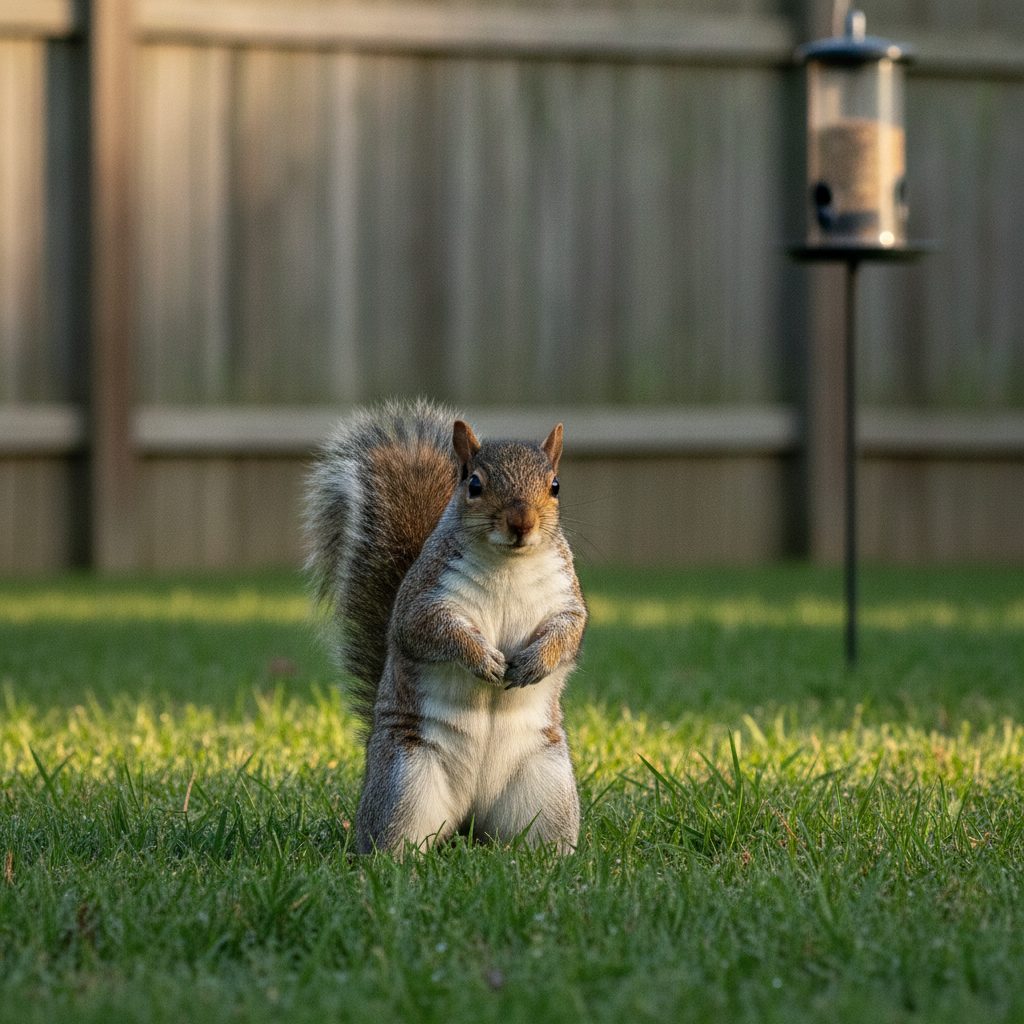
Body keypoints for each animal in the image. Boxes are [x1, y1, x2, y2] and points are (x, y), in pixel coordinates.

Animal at [305, 398, 587, 855]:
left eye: (556, 486)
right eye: (474, 484)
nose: (521, 523)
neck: (509, 563)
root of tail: (470, 820)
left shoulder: (565, 599)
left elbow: (569, 632)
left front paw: (535, 663)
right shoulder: (423, 600)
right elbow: (431, 630)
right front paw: (483, 659)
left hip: (546, 788)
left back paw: (548, 860)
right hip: (405, 783)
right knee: (395, 838)